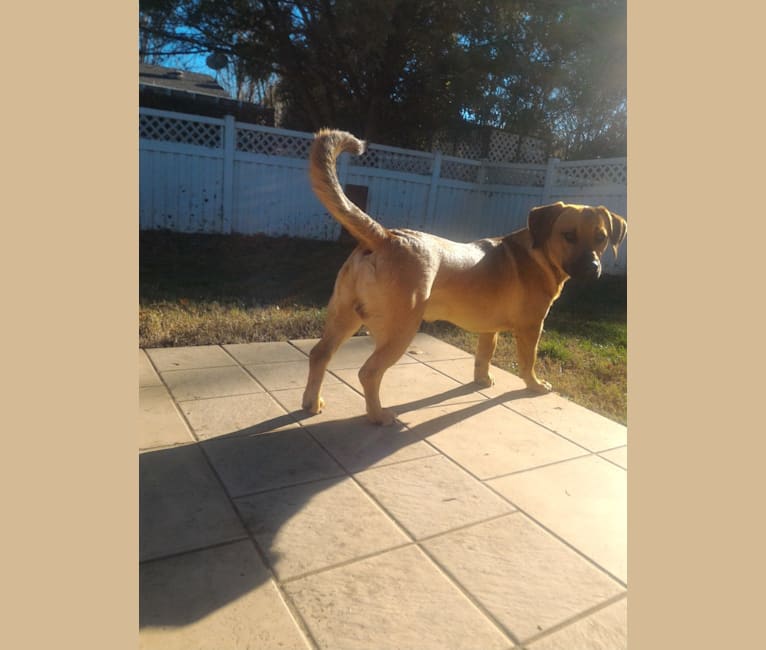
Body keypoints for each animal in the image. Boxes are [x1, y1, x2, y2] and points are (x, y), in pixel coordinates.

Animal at [302, 130, 632, 426]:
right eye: (569, 235)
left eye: (602, 238)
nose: (592, 268)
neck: (538, 252)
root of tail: (385, 237)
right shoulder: (531, 328)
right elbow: (528, 362)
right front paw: (535, 386)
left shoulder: (489, 329)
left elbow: (483, 356)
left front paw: (482, 381)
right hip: (399, 330)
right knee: (369, 372)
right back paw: (378, 416)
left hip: (344, 317)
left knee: (319, 355)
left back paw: (311, 403)